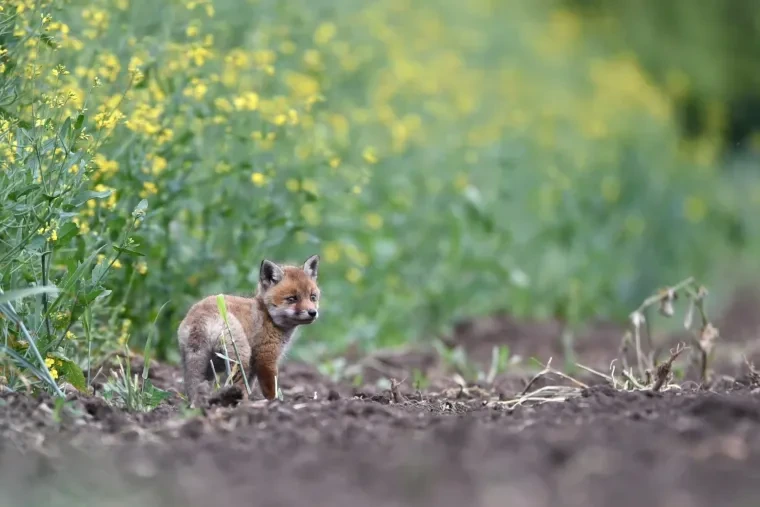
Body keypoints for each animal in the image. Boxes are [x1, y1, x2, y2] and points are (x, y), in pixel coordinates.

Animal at [177, 254, 320, 405]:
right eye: (292, 299)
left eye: (312, 297)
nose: (312, 312)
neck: (268, 315)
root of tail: (201, 316)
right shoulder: (266, 358)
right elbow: (270, 389)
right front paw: (273, 402)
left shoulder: (253, 365)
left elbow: (250, 385)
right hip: (241, 358)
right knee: (238, 384)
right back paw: (241, 403)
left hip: (199, 364)